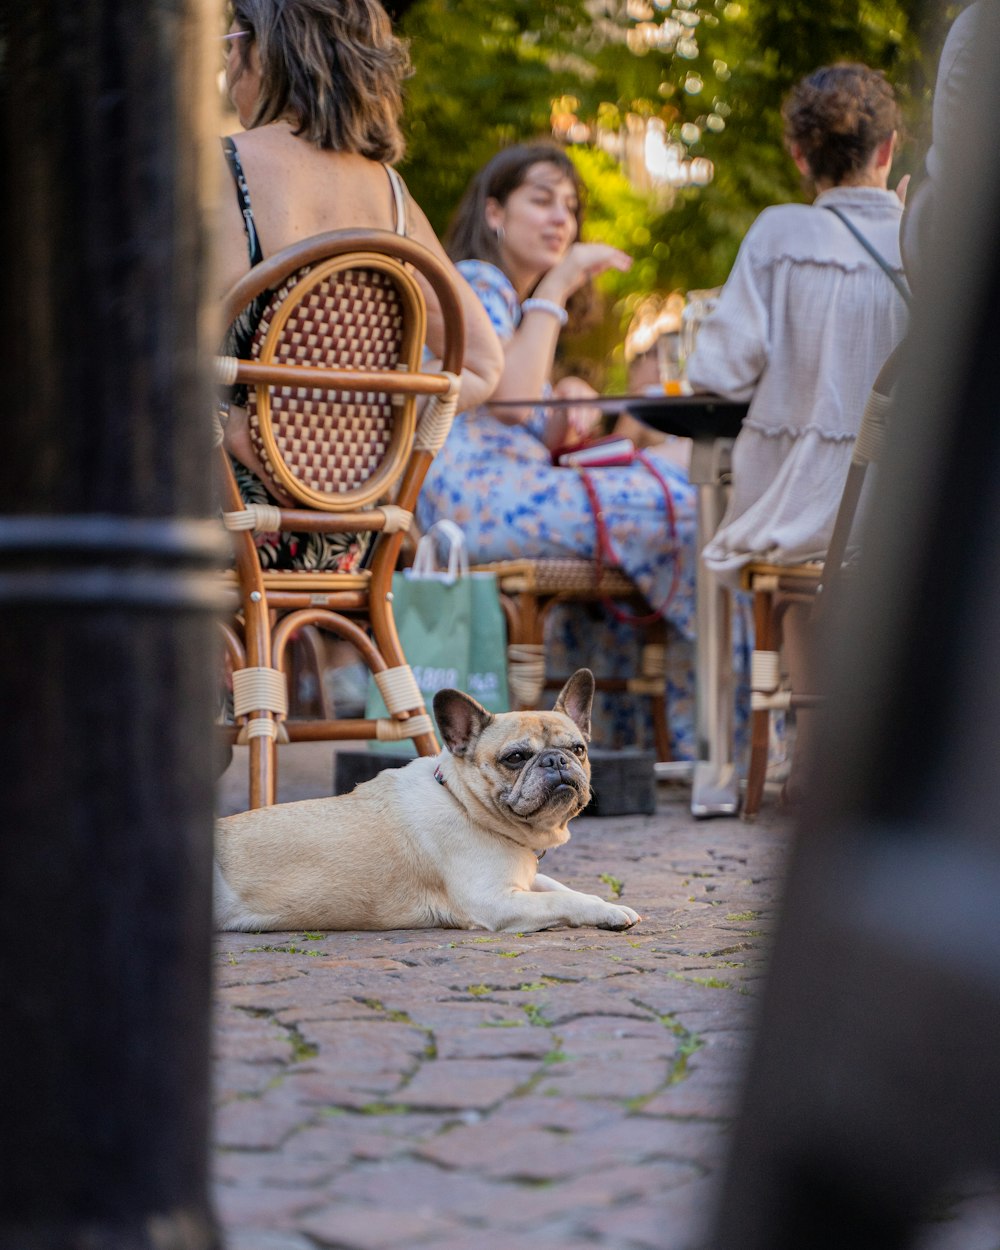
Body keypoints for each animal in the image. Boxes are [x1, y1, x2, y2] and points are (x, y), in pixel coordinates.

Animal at [216, 670, 640, 935]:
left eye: (578, 749)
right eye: (516, 758)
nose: (556, 760)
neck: (465, 804)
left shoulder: (522, 878)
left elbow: (563, 888)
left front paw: (611, 907)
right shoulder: (495, 901)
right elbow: (559, 901)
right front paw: (601, 910)